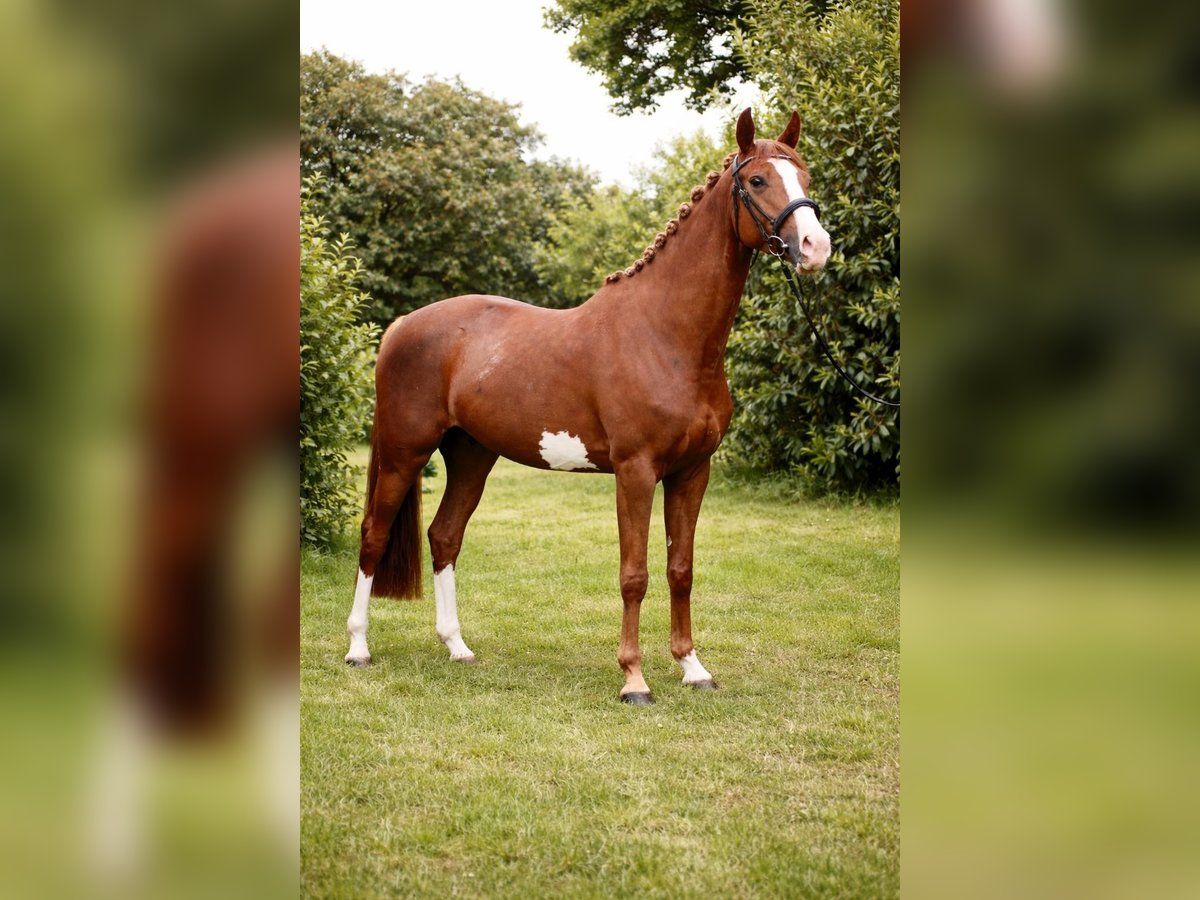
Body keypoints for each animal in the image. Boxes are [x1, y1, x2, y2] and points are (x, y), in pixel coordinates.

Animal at [345, 108, 831, 703]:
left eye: (804, 177)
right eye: (758, 180)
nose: (815, 246)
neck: (667, 335)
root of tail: (400, 327)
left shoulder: (693, 471)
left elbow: (680, 569)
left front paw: (693, 668)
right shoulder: (636, 471)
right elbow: (634, 574)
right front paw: (634, 679)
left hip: (471, 456)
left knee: (444, 536)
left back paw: (457, 647)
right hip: (403, 452)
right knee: (373, 534)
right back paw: (358, 648)